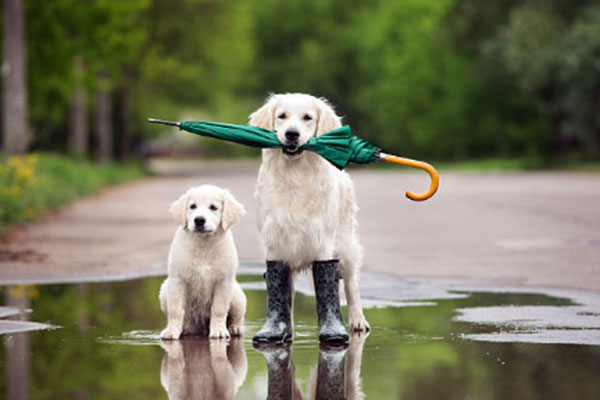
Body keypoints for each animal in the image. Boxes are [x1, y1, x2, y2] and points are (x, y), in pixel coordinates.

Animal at [158, 184, 247, 338]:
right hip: (164, 289)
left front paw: (219, 331)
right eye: (192, 206)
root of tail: (199, 329)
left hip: (237, 296)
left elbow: (219, 308)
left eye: (213, 207)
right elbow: (175, 309)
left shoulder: (223, 281)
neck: (204, 245)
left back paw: (235, 328)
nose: (199, 220)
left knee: (237, 317)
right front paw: (171, 331)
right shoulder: (177, 279)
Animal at [250, 93, 370, 332]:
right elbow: (282, 292)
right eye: (282, 116)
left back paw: (357, 320)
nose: (291, 134)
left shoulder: (322, 242)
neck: (294, 175)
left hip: (345, 244)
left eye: (307, 117)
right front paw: (281, 329)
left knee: (351, 284)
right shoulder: (275, 242)